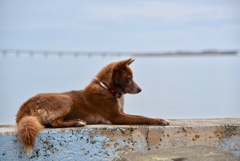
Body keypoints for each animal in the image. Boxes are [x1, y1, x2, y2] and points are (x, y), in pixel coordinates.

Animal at [15, 58, 170, 157]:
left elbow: (140, 116)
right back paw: (77, 122)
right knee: (55, 123)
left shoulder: (121, 113)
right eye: (129, 78)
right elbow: (143, 117)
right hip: (65, 99)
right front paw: (160, 120)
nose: (140, 90)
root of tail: (24, 107)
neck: (107, 89)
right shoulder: (117, 117)